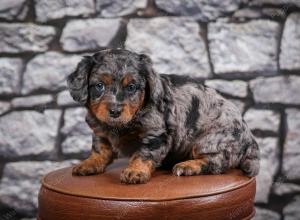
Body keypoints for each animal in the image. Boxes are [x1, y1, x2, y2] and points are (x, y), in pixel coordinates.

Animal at [67, 48, 258, 184]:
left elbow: (143, 154)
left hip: (209, 141)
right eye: (99, 85)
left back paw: (187, 166)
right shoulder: (99, 130)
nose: (114, 111)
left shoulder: (155, 134)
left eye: (131, 87)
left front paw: (135, 171)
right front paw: (89, 163)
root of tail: (249, 138)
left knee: (215, 163)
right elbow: (100, 149)